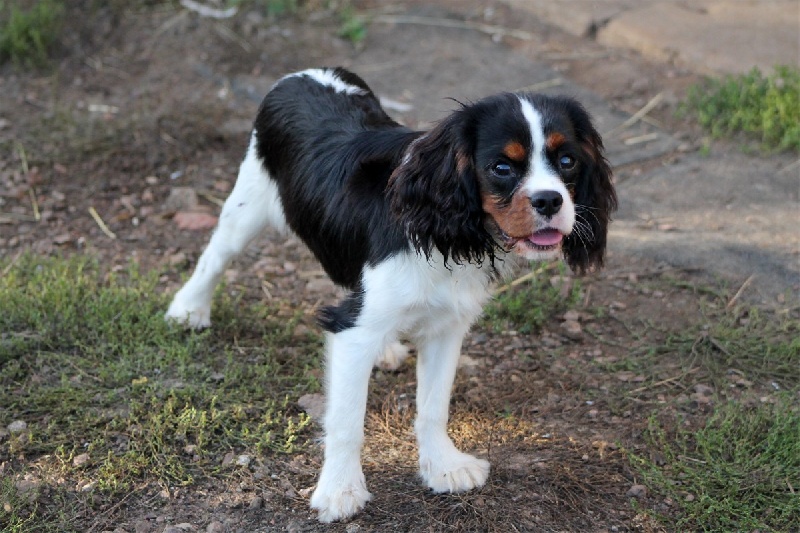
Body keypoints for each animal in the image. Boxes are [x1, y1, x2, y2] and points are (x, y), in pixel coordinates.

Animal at [167, 66, 620, 520]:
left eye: (567, 161)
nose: (550, 200)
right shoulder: (352, 332)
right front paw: (340, 491)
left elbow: (433, 406)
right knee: (216, 254)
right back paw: (188, 310)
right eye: (501, 167)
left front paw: (444, 466)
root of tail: (306, 73)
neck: (439, 227)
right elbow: (347, 420)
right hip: (249, 200)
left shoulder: (446, 328)